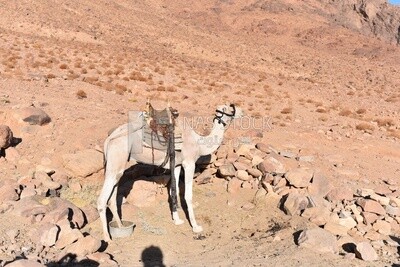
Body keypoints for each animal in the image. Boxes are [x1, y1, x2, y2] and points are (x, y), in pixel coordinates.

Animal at [97, 103, 242, 242]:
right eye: (230, 108)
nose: (241, 112)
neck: (199, 143)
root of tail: (108, 139)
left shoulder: (177, 165)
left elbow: (174, 191)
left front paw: (177, 220)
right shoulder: (189, 164)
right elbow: (188, 195)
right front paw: (196, 227)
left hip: (118, 166)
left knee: (112, 199)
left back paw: (120, 227)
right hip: (116, 159)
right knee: (101, 200)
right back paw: (107, 238)